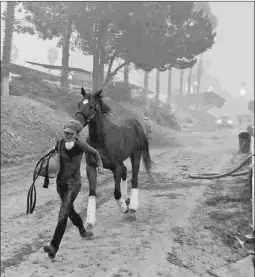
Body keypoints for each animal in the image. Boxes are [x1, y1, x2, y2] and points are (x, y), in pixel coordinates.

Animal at [74, 87, 156, 230]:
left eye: (91, 106)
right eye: (79, 104)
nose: (77, 123)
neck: (101, 140)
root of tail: (136, 123)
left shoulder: (114, 167)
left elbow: (116, 193)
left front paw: (125, 209)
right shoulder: (91, 167)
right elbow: (92, 192)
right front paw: (89, 222)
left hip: (136, 154)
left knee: (134, 178)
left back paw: (132, 207)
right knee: (125, 171)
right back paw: (127, 199)